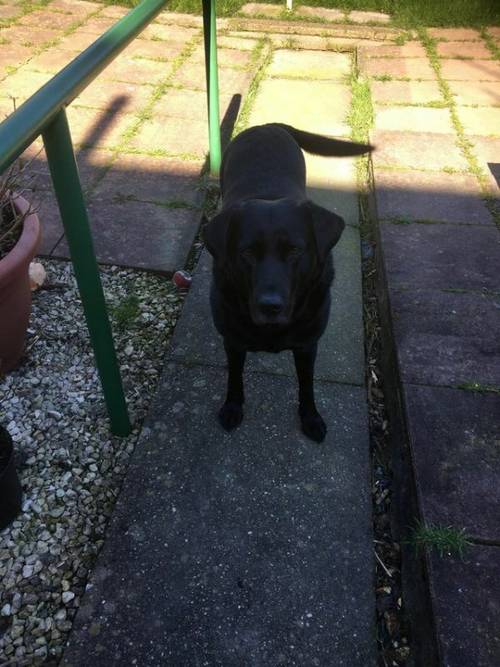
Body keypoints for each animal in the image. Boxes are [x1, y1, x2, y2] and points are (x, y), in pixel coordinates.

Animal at [202, 122, 372, 444]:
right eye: (247, 253)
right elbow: (234, 377)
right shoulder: (233, 342)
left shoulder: (307, 345)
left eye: (294, 251)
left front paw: (311, 417)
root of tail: (265, 126)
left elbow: (307, 385)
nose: (270, 306)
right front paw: (232, 407)